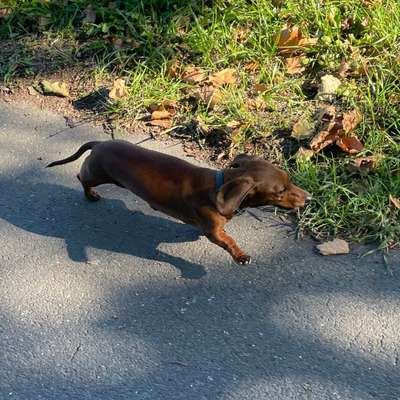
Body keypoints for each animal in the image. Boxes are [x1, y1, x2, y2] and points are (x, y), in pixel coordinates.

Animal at [46, 139, 310, 264]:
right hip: (97, 174)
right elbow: (228, 241)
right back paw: (90, 194)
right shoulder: (214, 232)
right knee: (81, 177)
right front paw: (241, 255)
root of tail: (99, 143)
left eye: (289, 180)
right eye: (280, 190)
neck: (219, 186)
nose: (309, 197)